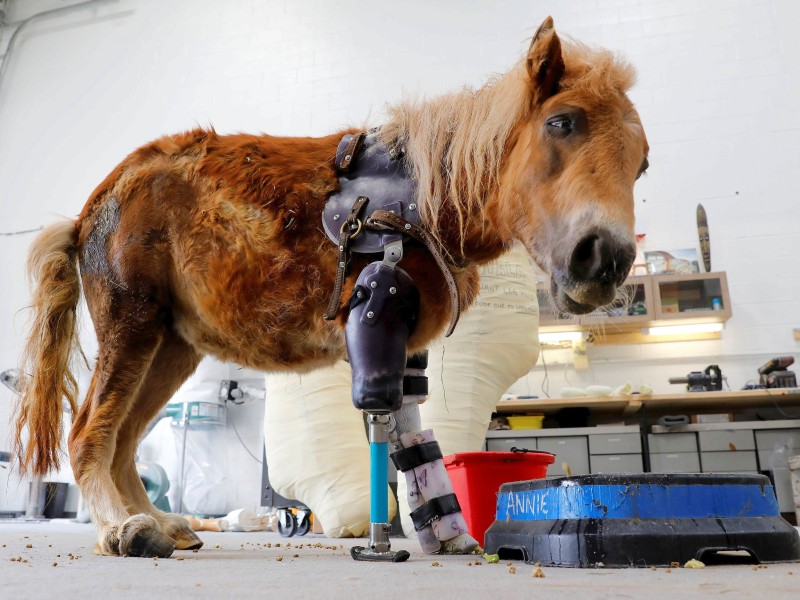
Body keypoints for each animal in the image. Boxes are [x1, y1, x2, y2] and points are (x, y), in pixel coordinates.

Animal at [14, 18, 648, 560]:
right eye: (561, 122)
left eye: (641, 164)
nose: (604, 259)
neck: (427, 198)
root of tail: (93, 207)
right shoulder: (377, 319)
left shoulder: (406, 344)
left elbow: (411, 436)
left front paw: (446, 536)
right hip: (132, 322)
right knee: (90, 430)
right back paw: (122, 529)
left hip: (171, 344)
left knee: (123, 438)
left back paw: (158, 523)